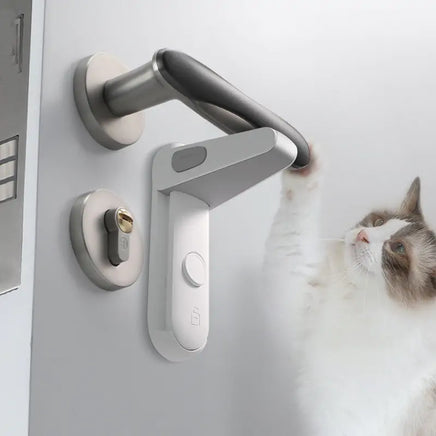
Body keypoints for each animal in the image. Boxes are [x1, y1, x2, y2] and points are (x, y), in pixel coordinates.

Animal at [264, 147, 436, 436]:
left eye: (398, 248)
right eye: (378, 222)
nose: (363, 235)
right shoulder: (296, 284)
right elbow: (294, 221)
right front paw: (304, 165)